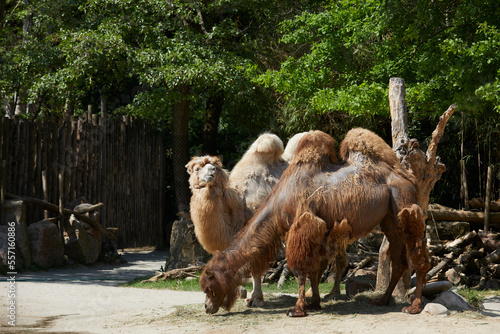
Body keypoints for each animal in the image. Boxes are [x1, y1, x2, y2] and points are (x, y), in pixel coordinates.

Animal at [199, 129, 430, 318]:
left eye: (209, 288)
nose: (208, 308)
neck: (280, 201)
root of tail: (409, 178)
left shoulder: (303, 223)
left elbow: (300, 270)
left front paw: (297, 309)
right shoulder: (318, 228)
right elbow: (314, 269)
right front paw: (314, 303)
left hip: (404, 201)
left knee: (418, 254)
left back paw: (414, 306)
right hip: (390, 219)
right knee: (399, 260)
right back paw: (382, 300)